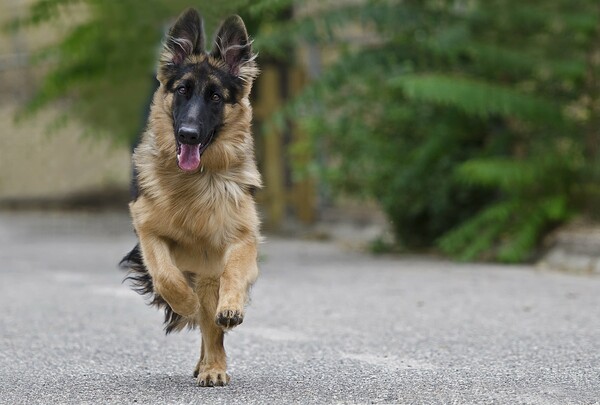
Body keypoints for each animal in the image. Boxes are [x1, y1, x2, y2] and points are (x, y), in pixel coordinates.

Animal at [120, 7, 262, 386]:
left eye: (215, 97)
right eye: (182, 90)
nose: (188, 134)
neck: (194, 184)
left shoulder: (240, 240)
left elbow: (233, 275)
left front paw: (230, 307)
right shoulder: (148, 231)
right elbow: (166, 276)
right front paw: (184, 303)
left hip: (210, 273)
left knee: (212, 329)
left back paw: (212, 366)